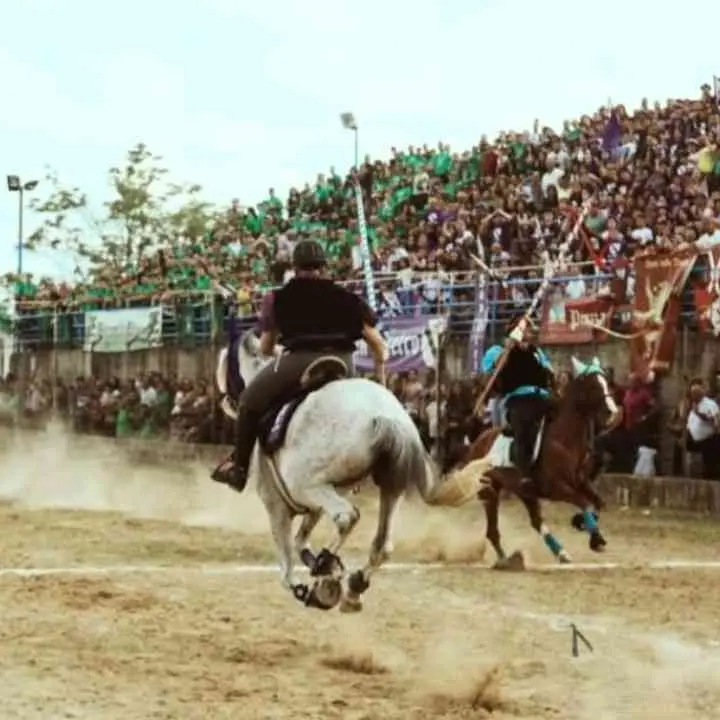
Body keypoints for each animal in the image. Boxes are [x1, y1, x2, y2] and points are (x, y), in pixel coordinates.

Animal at [214, 332, 442, 612]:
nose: (225, 400)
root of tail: (385, 416)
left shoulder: (277, 504)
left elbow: (286, 564)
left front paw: (307, 585)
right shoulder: (315, 504)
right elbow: (301, 539)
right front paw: (324, 569)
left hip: (308, 486)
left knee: (347, 516)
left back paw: (326, 567)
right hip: (386, 486)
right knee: (381, 545)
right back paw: (352, 586)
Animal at [436, 354, 620, 568]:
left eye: (606, 381)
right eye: (592, 384)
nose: (612, 412)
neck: (564, 440)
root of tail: (475, 445)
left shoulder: (582, 483)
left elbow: (598, 504)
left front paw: (582, 524)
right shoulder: (557, 488)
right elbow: (585, 504)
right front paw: (595, 538)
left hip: (524, 491)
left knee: (535, 521)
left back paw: (560, 553)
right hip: (490, 492)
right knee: (493, 532)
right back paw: (506, 561)